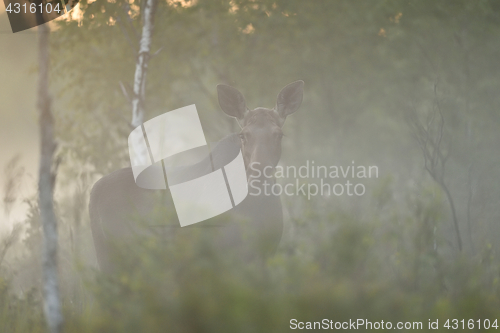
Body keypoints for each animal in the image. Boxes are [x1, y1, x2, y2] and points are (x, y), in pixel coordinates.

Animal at [90, 81, 304, 272]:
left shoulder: (265, 254)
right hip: (107, 258)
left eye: (279, 134)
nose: (259, 174)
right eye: (243, 135)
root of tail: (93, 190)